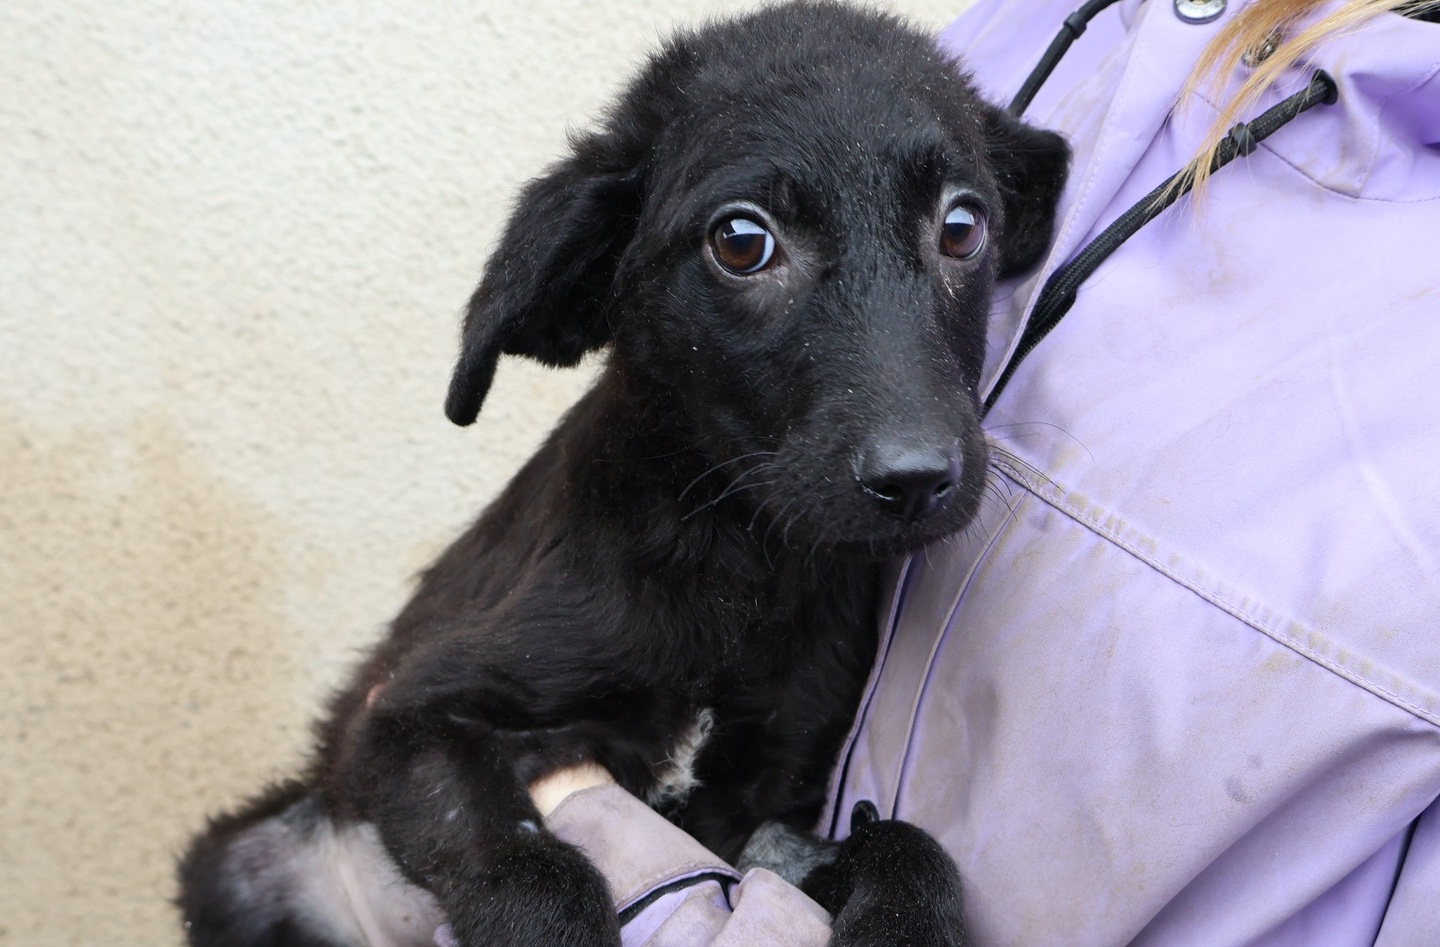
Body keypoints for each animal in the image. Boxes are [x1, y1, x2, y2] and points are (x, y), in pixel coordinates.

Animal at [177, 4, 1068, 945]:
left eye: (963, 226)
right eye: (742, 242)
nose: (916, 478)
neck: (738, 564)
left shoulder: (760, 809)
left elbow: (905, 845)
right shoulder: (410, 716)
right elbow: (531, 873)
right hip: (245, 863)